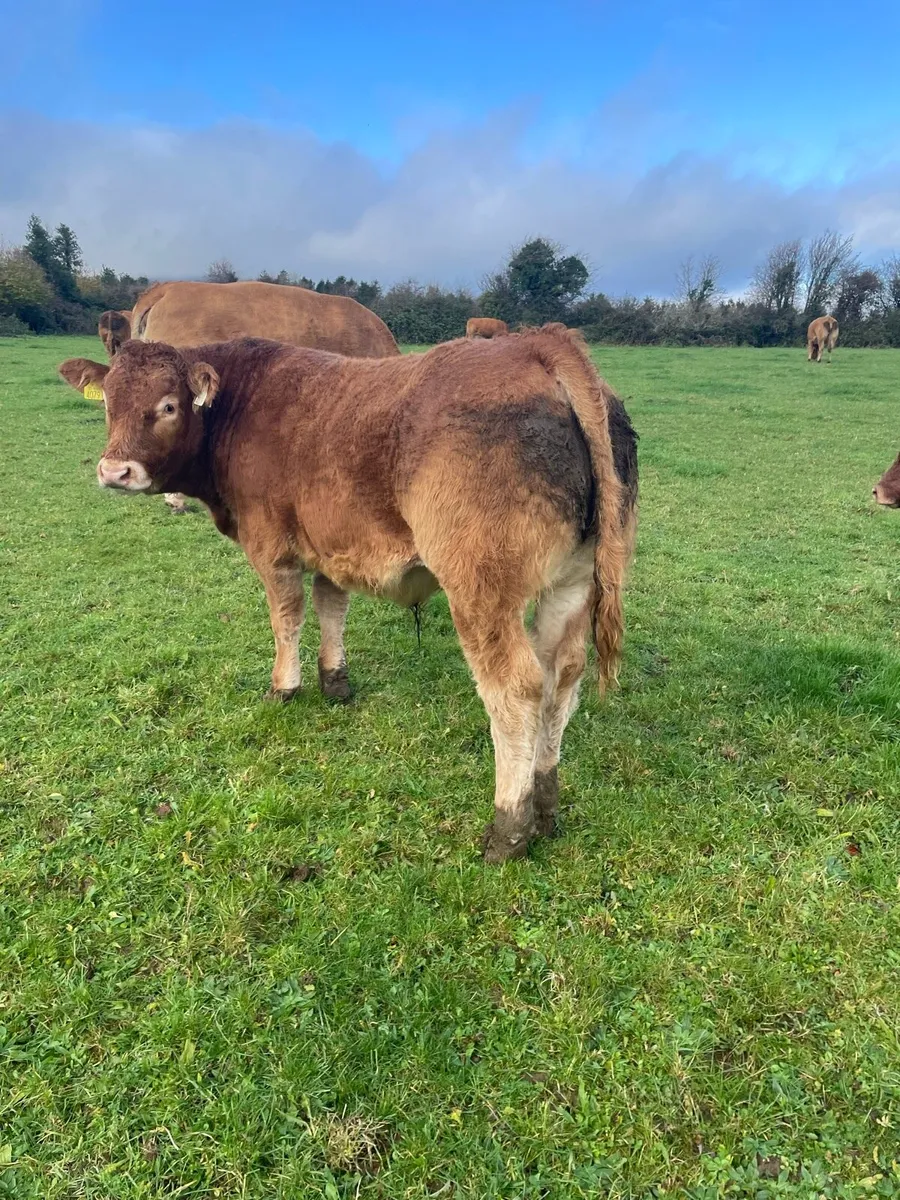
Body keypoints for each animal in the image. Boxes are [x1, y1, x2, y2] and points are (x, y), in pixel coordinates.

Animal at [58, 325, 638, 864]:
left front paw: (284, 687)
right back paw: (545, 806)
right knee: (561, 679)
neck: (241, 404)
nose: (115, 470)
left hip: (481, 591)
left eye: (169, 405)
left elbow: (286, 617)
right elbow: (330, 606)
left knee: (516, 690)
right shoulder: (333, 545)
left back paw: (510, 828)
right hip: (571, 584)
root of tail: (535, 345)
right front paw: (334, 680)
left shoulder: (271, 547)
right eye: (108, 401)